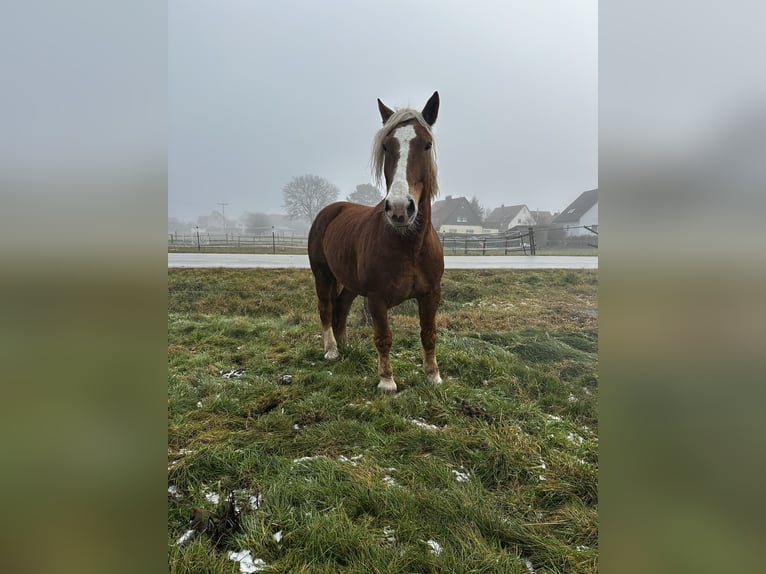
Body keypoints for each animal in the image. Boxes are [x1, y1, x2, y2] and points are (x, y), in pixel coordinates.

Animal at [308, 91, 448, 396]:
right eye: (386, 145)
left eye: (427, 144)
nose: (399, 208)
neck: (409, 246)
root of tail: (329, 210)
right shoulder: (376, 298)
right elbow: (383, 336)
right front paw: (386, 381)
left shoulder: (431, 294)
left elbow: (428, 334)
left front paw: (433, 376)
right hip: (322, 275)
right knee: (326, 309)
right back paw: (332, 350)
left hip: (349, 283)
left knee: (341, 308)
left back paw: (345, 345)